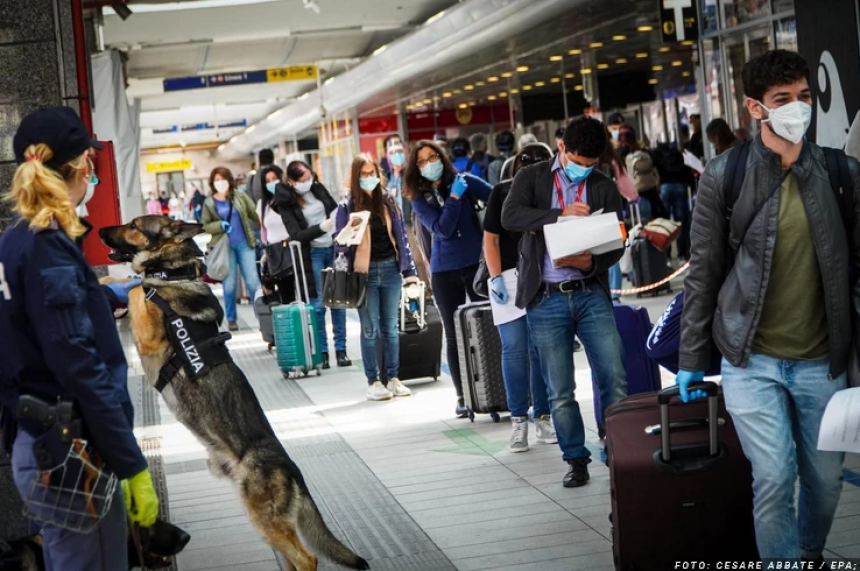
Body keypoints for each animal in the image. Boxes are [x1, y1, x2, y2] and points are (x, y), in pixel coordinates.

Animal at [99, 217, 368, 571]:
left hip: (264, 520)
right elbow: (133, 286)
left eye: (133, 225)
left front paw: (111, 280)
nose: (97, 231)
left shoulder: (148, 332)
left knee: (307, 557)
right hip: (267, 524)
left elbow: (136, 286)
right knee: (294, 558)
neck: (174, 273)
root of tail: (292, 468)